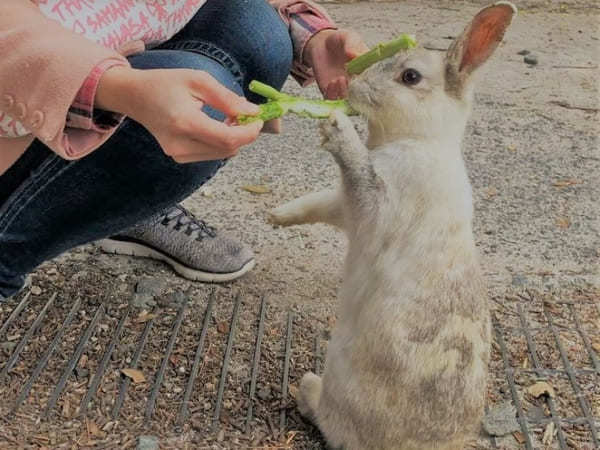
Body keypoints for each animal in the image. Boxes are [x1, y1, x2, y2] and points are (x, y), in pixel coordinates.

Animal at [270, 3, 516, 450]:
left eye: (411, 77)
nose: (351, 85)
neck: (420, 140)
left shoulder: (375, 201)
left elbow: (354, 170)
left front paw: (336, 125)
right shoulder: (343, 206)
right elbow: (316, 203)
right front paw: (277, 216)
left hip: (342, 379)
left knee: (331, 421)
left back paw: (308, 388)